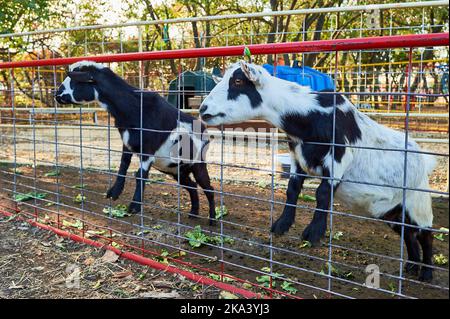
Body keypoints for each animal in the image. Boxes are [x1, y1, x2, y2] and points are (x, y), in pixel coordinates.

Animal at [54, 60, 216, 225]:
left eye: (75, 81)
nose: (57, 95)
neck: (134, 108)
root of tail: (204, 130)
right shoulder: (127, 143)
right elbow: (123, 165)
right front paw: (114, 192)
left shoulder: (147, 150)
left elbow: (140, 175)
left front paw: (134, 206)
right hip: (176, 170)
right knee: (192, 186)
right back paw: (194, 213)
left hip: (198, 163)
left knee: (209, 188)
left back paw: (212, 219)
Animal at [200, 61, 436, 282]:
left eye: (238, 81)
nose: (203, 109)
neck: (309, 115)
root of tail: (424, 158)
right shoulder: (297, 157)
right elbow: (292, 189)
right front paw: (282, 224)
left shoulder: (339, 157)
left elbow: (322, 193)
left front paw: (313, 233)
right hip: (392, 211)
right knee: (408, 234)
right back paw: (412, 266)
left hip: (418, 200)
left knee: (425, 234)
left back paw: (426, 273)